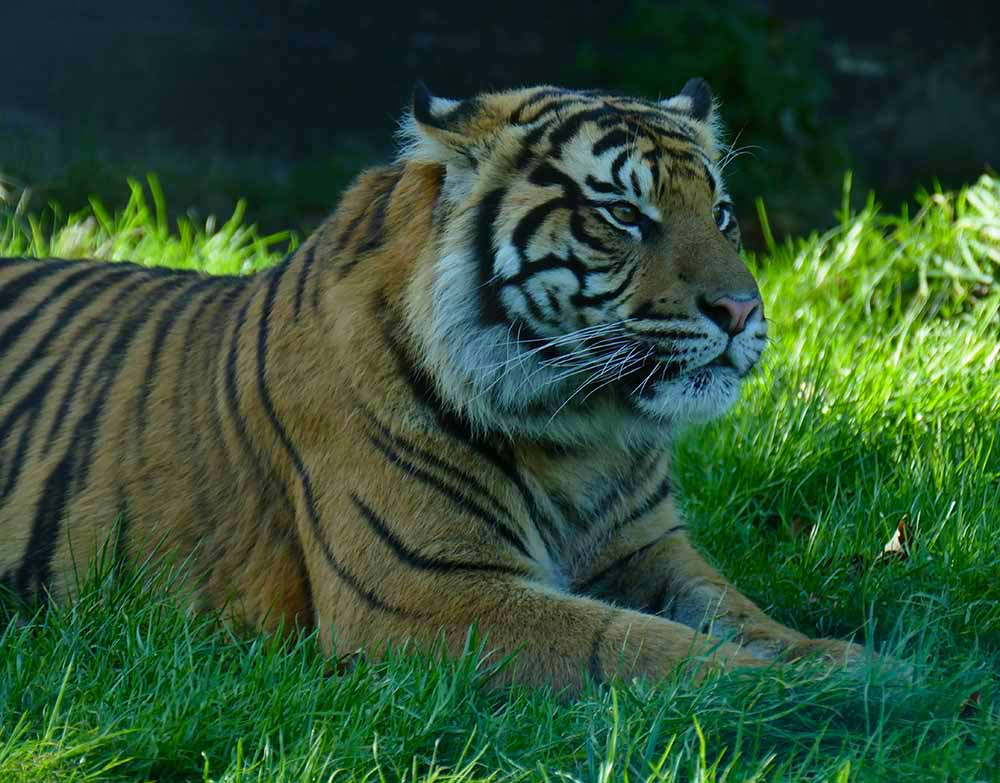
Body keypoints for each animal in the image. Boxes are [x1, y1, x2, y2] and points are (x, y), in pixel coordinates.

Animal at [0, 78, 869, 693]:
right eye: (623, 213)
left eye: (721, 214)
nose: (742, 310)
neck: (584, 433)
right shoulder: (425, 590)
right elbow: (644, 648)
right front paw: (842, 696)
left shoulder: (650, 550)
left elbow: (744, 615)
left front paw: (847, 659)